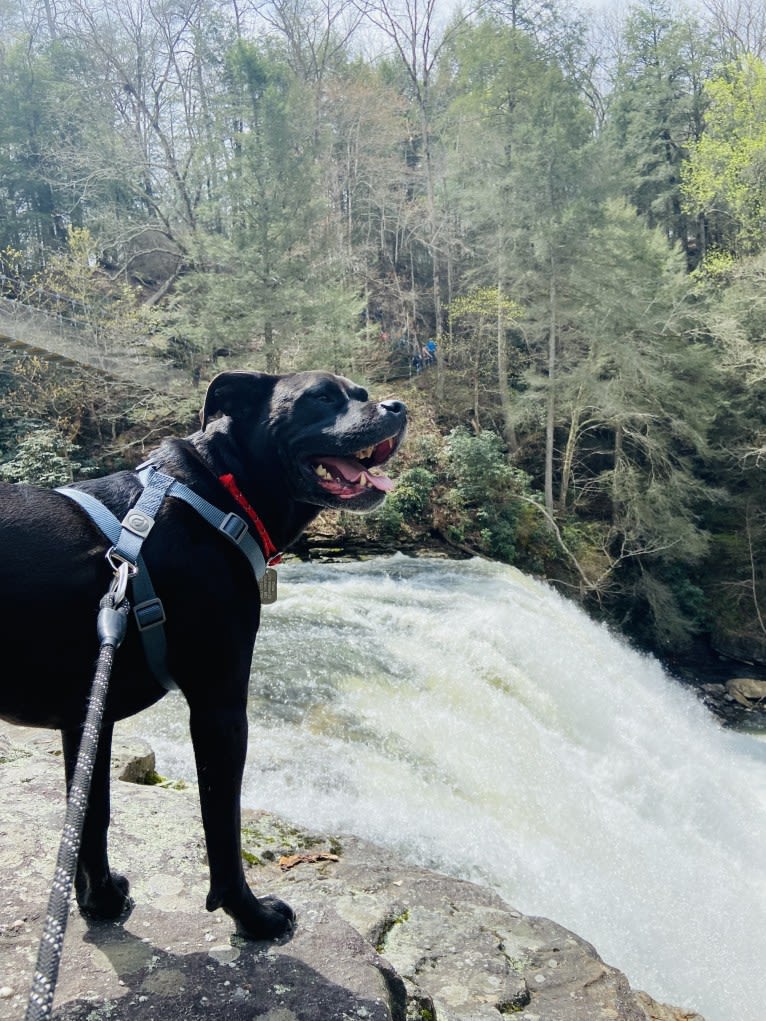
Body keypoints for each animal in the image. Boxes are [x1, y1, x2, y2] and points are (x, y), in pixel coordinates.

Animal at [0, 369, 408, 939]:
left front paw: (98, 900)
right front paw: (252, 915)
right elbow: (223, 828)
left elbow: (91, 814)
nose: (396, 406)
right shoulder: (220, 710)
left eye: (362, 395)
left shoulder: (88, 718)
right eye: (322, 397)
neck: (217, 492)